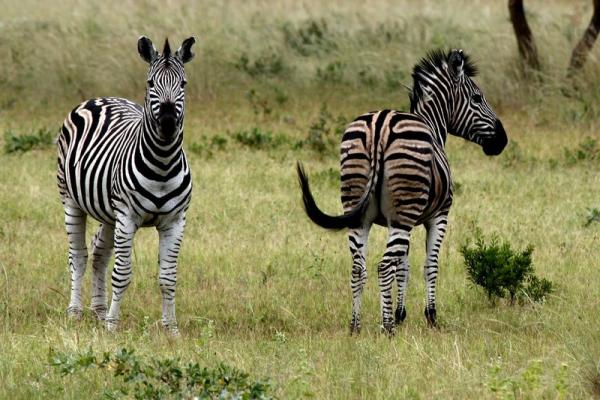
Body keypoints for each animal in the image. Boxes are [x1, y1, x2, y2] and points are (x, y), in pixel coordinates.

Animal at [57, 36, 196, 336]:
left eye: (183, 84)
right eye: (151, 83)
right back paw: (75, 312)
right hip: (72, 201)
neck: (163, 163)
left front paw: (171, 329)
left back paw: (98, 311)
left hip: (110, 214)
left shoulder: (175, 221)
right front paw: (112, 326)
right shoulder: (128, 217)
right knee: (79, 256)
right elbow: (122, 274)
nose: (168, 122)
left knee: (99, 253)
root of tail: (100, 98)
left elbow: (168, 277)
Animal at [296, 48, 506, 332]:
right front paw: (429, 316)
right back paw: (387, 329)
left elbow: (403, 265)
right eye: (477, 97)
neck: (433, 125)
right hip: (405, 210)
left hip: (360, 210)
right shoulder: (437, 216)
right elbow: (429, 264)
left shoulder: (397, 221)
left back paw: (355, 326)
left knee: (359, 267)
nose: (503, 140)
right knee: (383, 266)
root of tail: (380, 126)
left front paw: (400, 313)